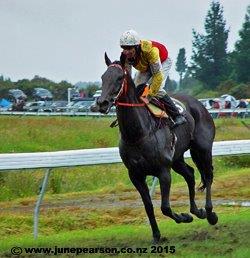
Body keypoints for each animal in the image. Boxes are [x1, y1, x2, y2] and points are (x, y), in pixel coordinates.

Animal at [94, 53, 218, 243]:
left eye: (119, 77)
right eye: (103, 77)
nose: (102, 103)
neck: (138, 134)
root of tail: (199, 104)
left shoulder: (163, 171)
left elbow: (165, 207)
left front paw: (183, 217)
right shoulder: (135, 175)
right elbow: (148, 206)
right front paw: (157, 235)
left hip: (202, 149)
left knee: (208, 175)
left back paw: (210, 213)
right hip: (177, 158)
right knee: (190, 174)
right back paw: (197, 211)